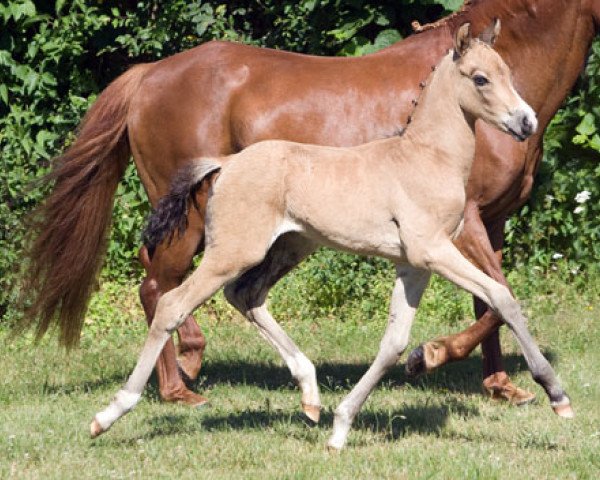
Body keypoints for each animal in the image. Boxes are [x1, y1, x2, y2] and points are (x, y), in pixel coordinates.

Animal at [22, 0, 600, 404]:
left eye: (505, 73)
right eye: (482, 78)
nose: (524, 121)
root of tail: (149, 74)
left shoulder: (490, 222)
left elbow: (491, 303)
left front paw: (501, 385)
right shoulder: (464, 227)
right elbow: (502, 296)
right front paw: (430, 355)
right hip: (192, 225)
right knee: (158, 287)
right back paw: (178, 385)